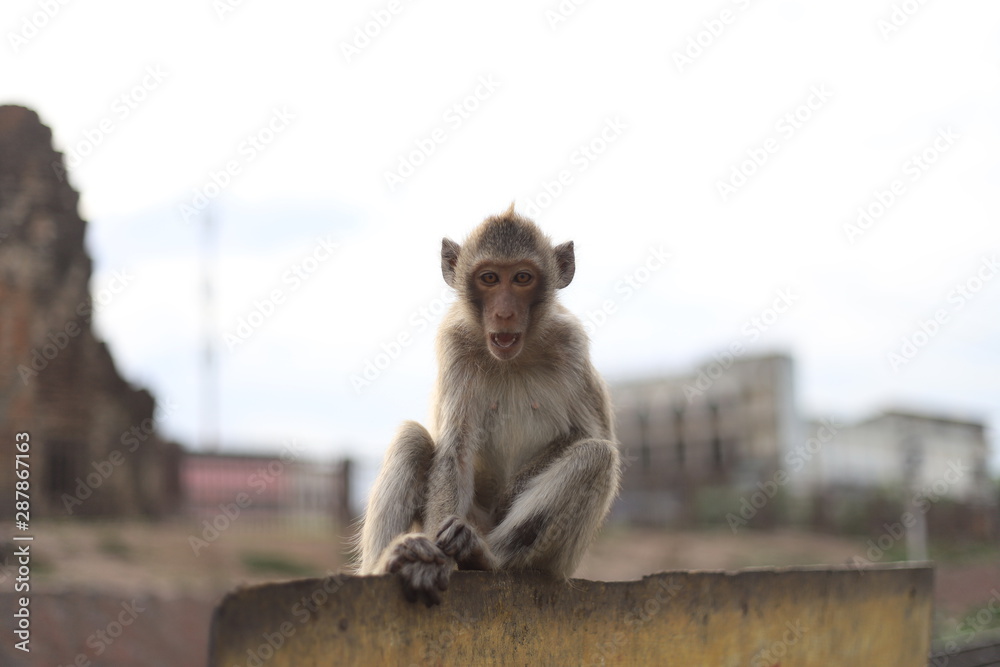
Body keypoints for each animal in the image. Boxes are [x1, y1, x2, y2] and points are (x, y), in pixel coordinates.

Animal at [357, 204, 621, 606]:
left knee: (596, 456)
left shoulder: (571, 343)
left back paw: (483, 554)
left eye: (522, 278)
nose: (505, 313)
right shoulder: (454, 343)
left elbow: (593, 435)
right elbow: (454, 449)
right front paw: (432, 563)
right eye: (490, 278)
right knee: (413, 439)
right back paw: (391, 560)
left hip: (558, 559)